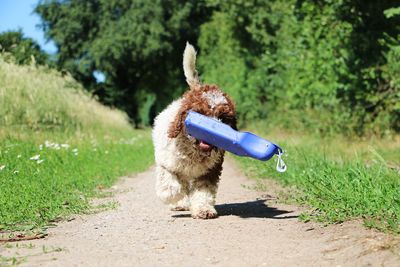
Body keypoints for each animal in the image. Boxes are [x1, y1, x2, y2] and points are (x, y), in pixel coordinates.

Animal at [152, 42, 236, 220]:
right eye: (201, 114)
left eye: (223, 118)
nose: (213, 132)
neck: (193, 149)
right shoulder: (166, 164)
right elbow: (171, 185)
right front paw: (178, 197)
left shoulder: (210, 171)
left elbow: (204, 190)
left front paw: (203, 209)